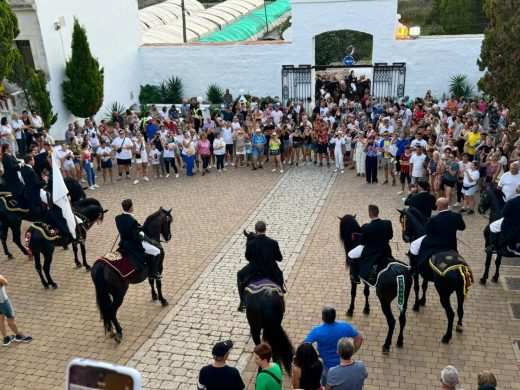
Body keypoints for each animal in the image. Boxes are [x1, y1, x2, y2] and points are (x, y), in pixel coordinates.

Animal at [89, 209, 171, 342]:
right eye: (169, 221)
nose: (169, 236)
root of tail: (101, 266)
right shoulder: (159, 267)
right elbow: (158, 283)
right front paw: (162, 300)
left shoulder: (150, 270)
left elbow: (151, 281)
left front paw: (154, 296)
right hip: (119, 294)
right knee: (111, 311)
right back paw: (118, 332)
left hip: (105, 293)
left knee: (106, 311)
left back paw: (111, 331)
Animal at [340, 213, 412, 354]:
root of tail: (399, 275)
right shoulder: (366, 278)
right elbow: (366, 292)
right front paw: (366, 309)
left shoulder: (353, 277)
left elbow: (353, 293)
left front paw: (350, 310)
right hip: (405, 298)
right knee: (402, 319)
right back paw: (399, 341)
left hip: (384, 300)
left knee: (392, 321)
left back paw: (386, 345)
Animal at [398, 209, 472, 342]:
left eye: (402, 221)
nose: (405, 237)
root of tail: (459, 269)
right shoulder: (425, 273)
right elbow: (424, 286)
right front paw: (422, 301)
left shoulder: (416, 271)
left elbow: (417, 287)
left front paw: (416, 305)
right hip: (460, 292)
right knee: (460, 310)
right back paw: (459, 326)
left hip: (444, 294)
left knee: (451, 314)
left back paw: (447, 336)